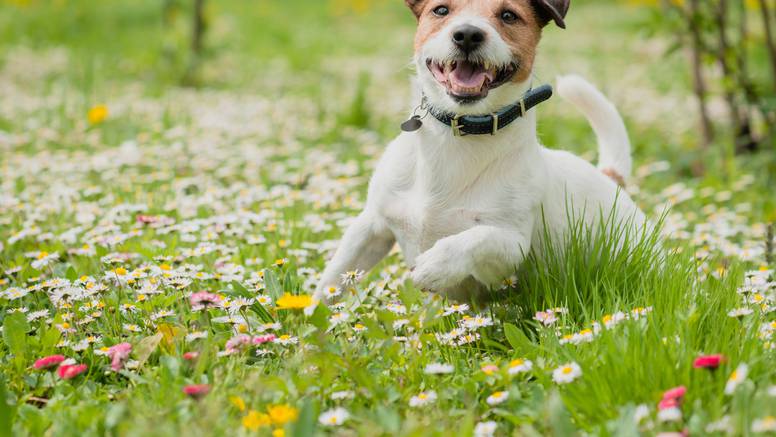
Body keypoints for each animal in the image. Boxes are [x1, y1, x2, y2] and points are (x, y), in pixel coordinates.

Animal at [312, 0, 644, 304]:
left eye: (509, 15)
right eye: (441, 10)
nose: (468, 35)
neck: (459, 135)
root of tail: (610, 178)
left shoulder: (510, 250)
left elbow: (478, 237)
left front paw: (436, 264)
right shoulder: (371, 227)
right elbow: (331, 281)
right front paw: (312, 323)